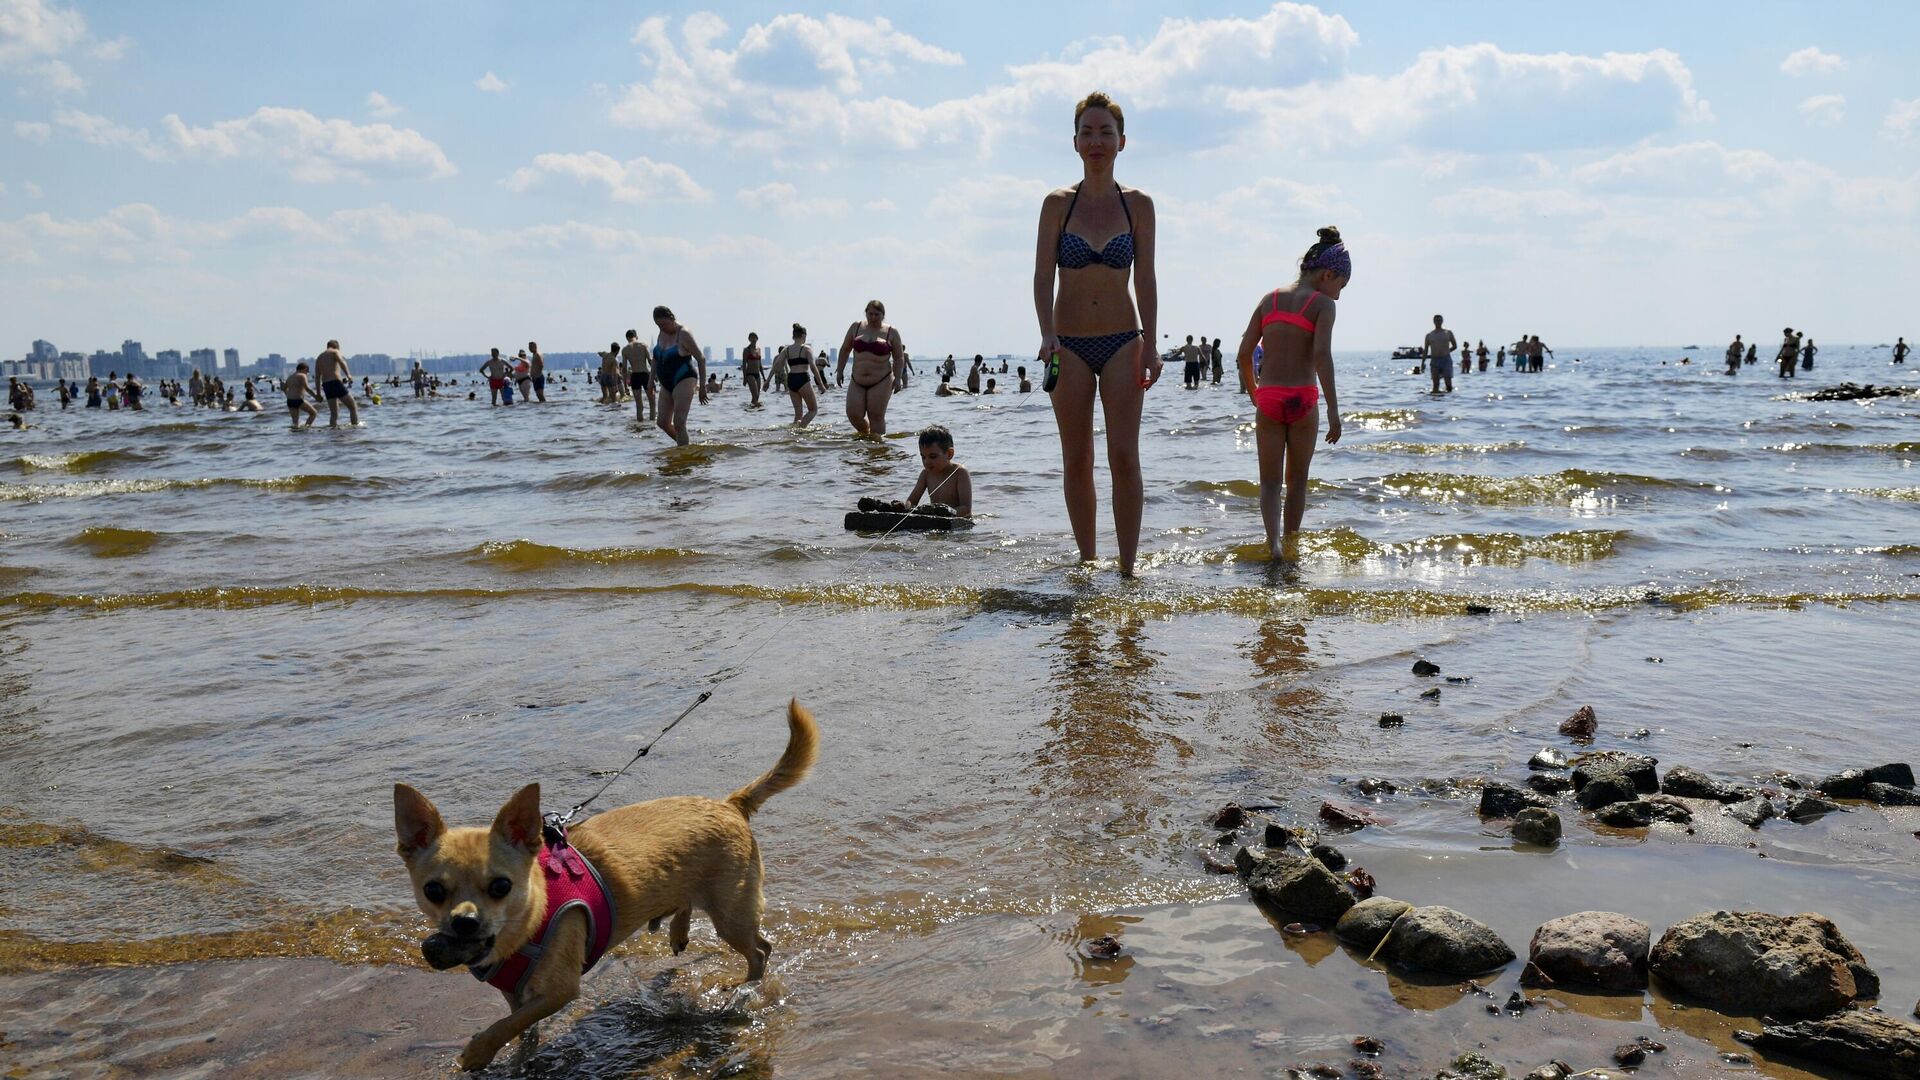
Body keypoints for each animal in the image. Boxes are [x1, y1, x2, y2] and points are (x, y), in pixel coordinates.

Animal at [393, 699, 821, 1068]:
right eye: (433, 891)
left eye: (501, 887)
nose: (464, 922)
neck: (527, 922)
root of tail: (730, 804)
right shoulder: (514, 992)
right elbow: (520, 1026)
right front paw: (521, 1056)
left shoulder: (560, 990)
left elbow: (508, 1025)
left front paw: (479, 1051)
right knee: (689, 904)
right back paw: (679, 932)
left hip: (731, 918)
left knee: (761, 951)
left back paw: (745, 988)